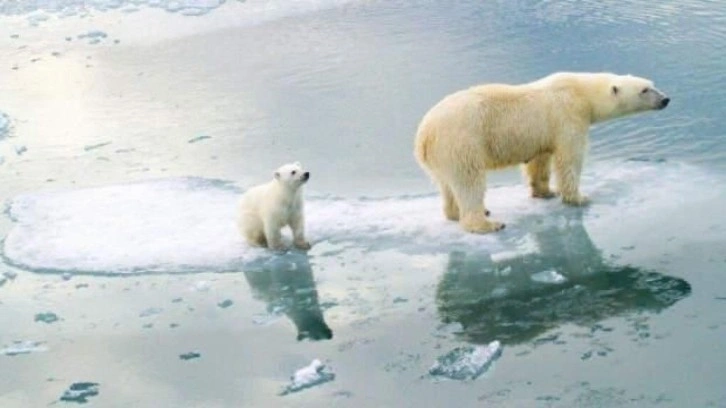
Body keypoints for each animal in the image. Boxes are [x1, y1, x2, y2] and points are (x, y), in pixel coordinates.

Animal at [412, 71, 672, 234]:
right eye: (645, 90)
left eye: (651, 84)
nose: (666, 99)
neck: (582, 92)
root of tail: (424, 135)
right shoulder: (568, 117)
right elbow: (569, 159)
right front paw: (579, 197)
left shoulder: (543, 133)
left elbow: (540, 161)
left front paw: (545, 192)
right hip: (462, 142)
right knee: (469, 180)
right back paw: (486, 223)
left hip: (441, 156)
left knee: (447, 185)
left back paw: (456, 213)